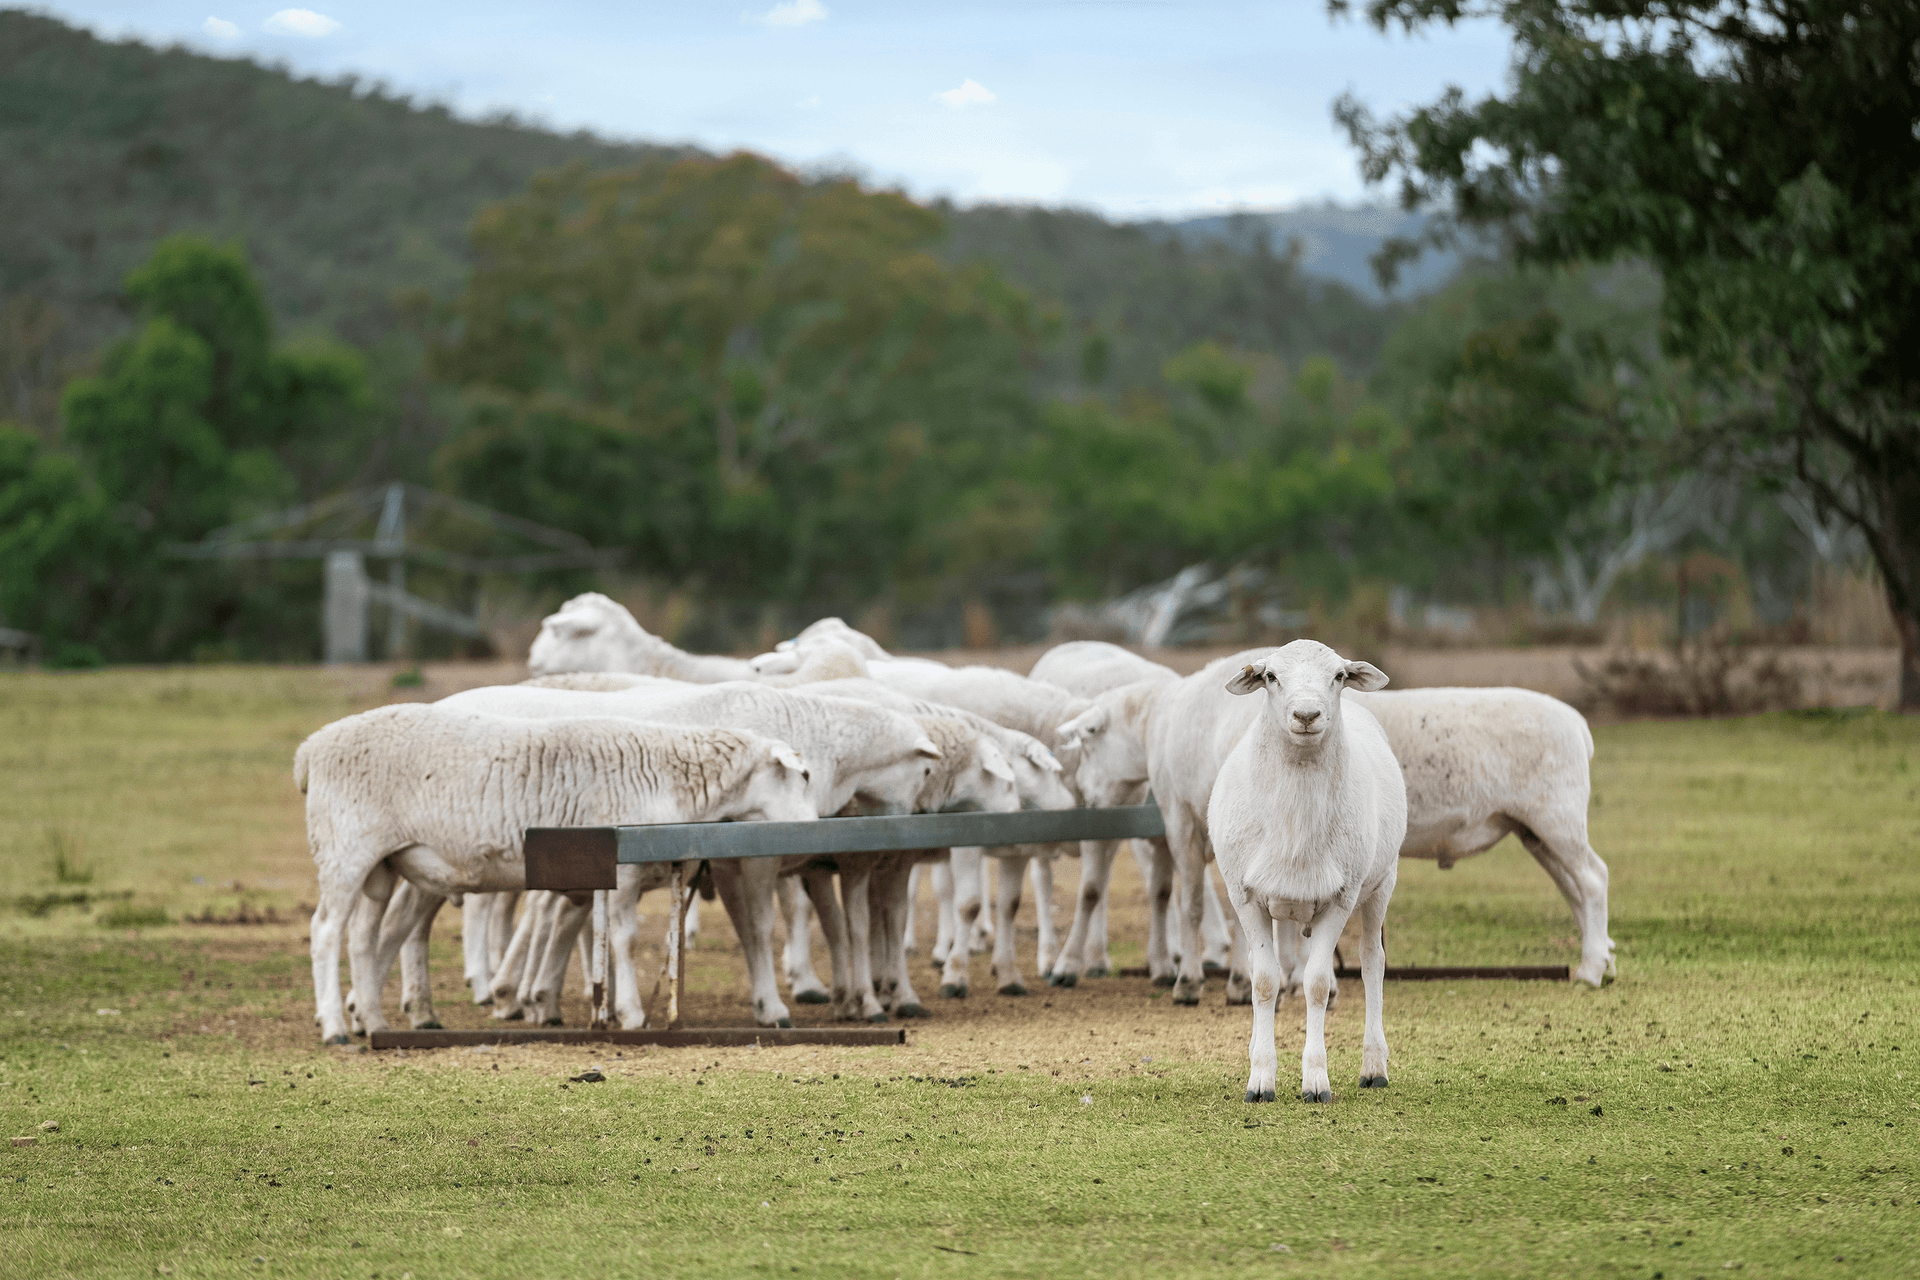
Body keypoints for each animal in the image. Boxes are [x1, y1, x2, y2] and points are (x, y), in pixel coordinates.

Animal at [291, 706, 810, 1043]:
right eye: (803, 776)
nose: (811, 829)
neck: (671, 776)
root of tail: (310, 750)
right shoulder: (624, 869)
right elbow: (623, 939)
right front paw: (631, 1013)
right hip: (343, 852)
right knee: (326, 933)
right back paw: (336, 1028)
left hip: (381, 864)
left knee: (363, 936)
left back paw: (374, 1022)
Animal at [1213, 644, 1413, 1105]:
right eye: (1270, 676)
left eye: (1339, 676)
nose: (1306, 715)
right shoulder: (1244, 896)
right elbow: (1264, 981)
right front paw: (1260, 1079)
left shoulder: (1341, 897)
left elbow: (1318, 983)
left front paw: (1316, 1081)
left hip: (1381, 883)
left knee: (1372, 961)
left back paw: (1374, 1067)